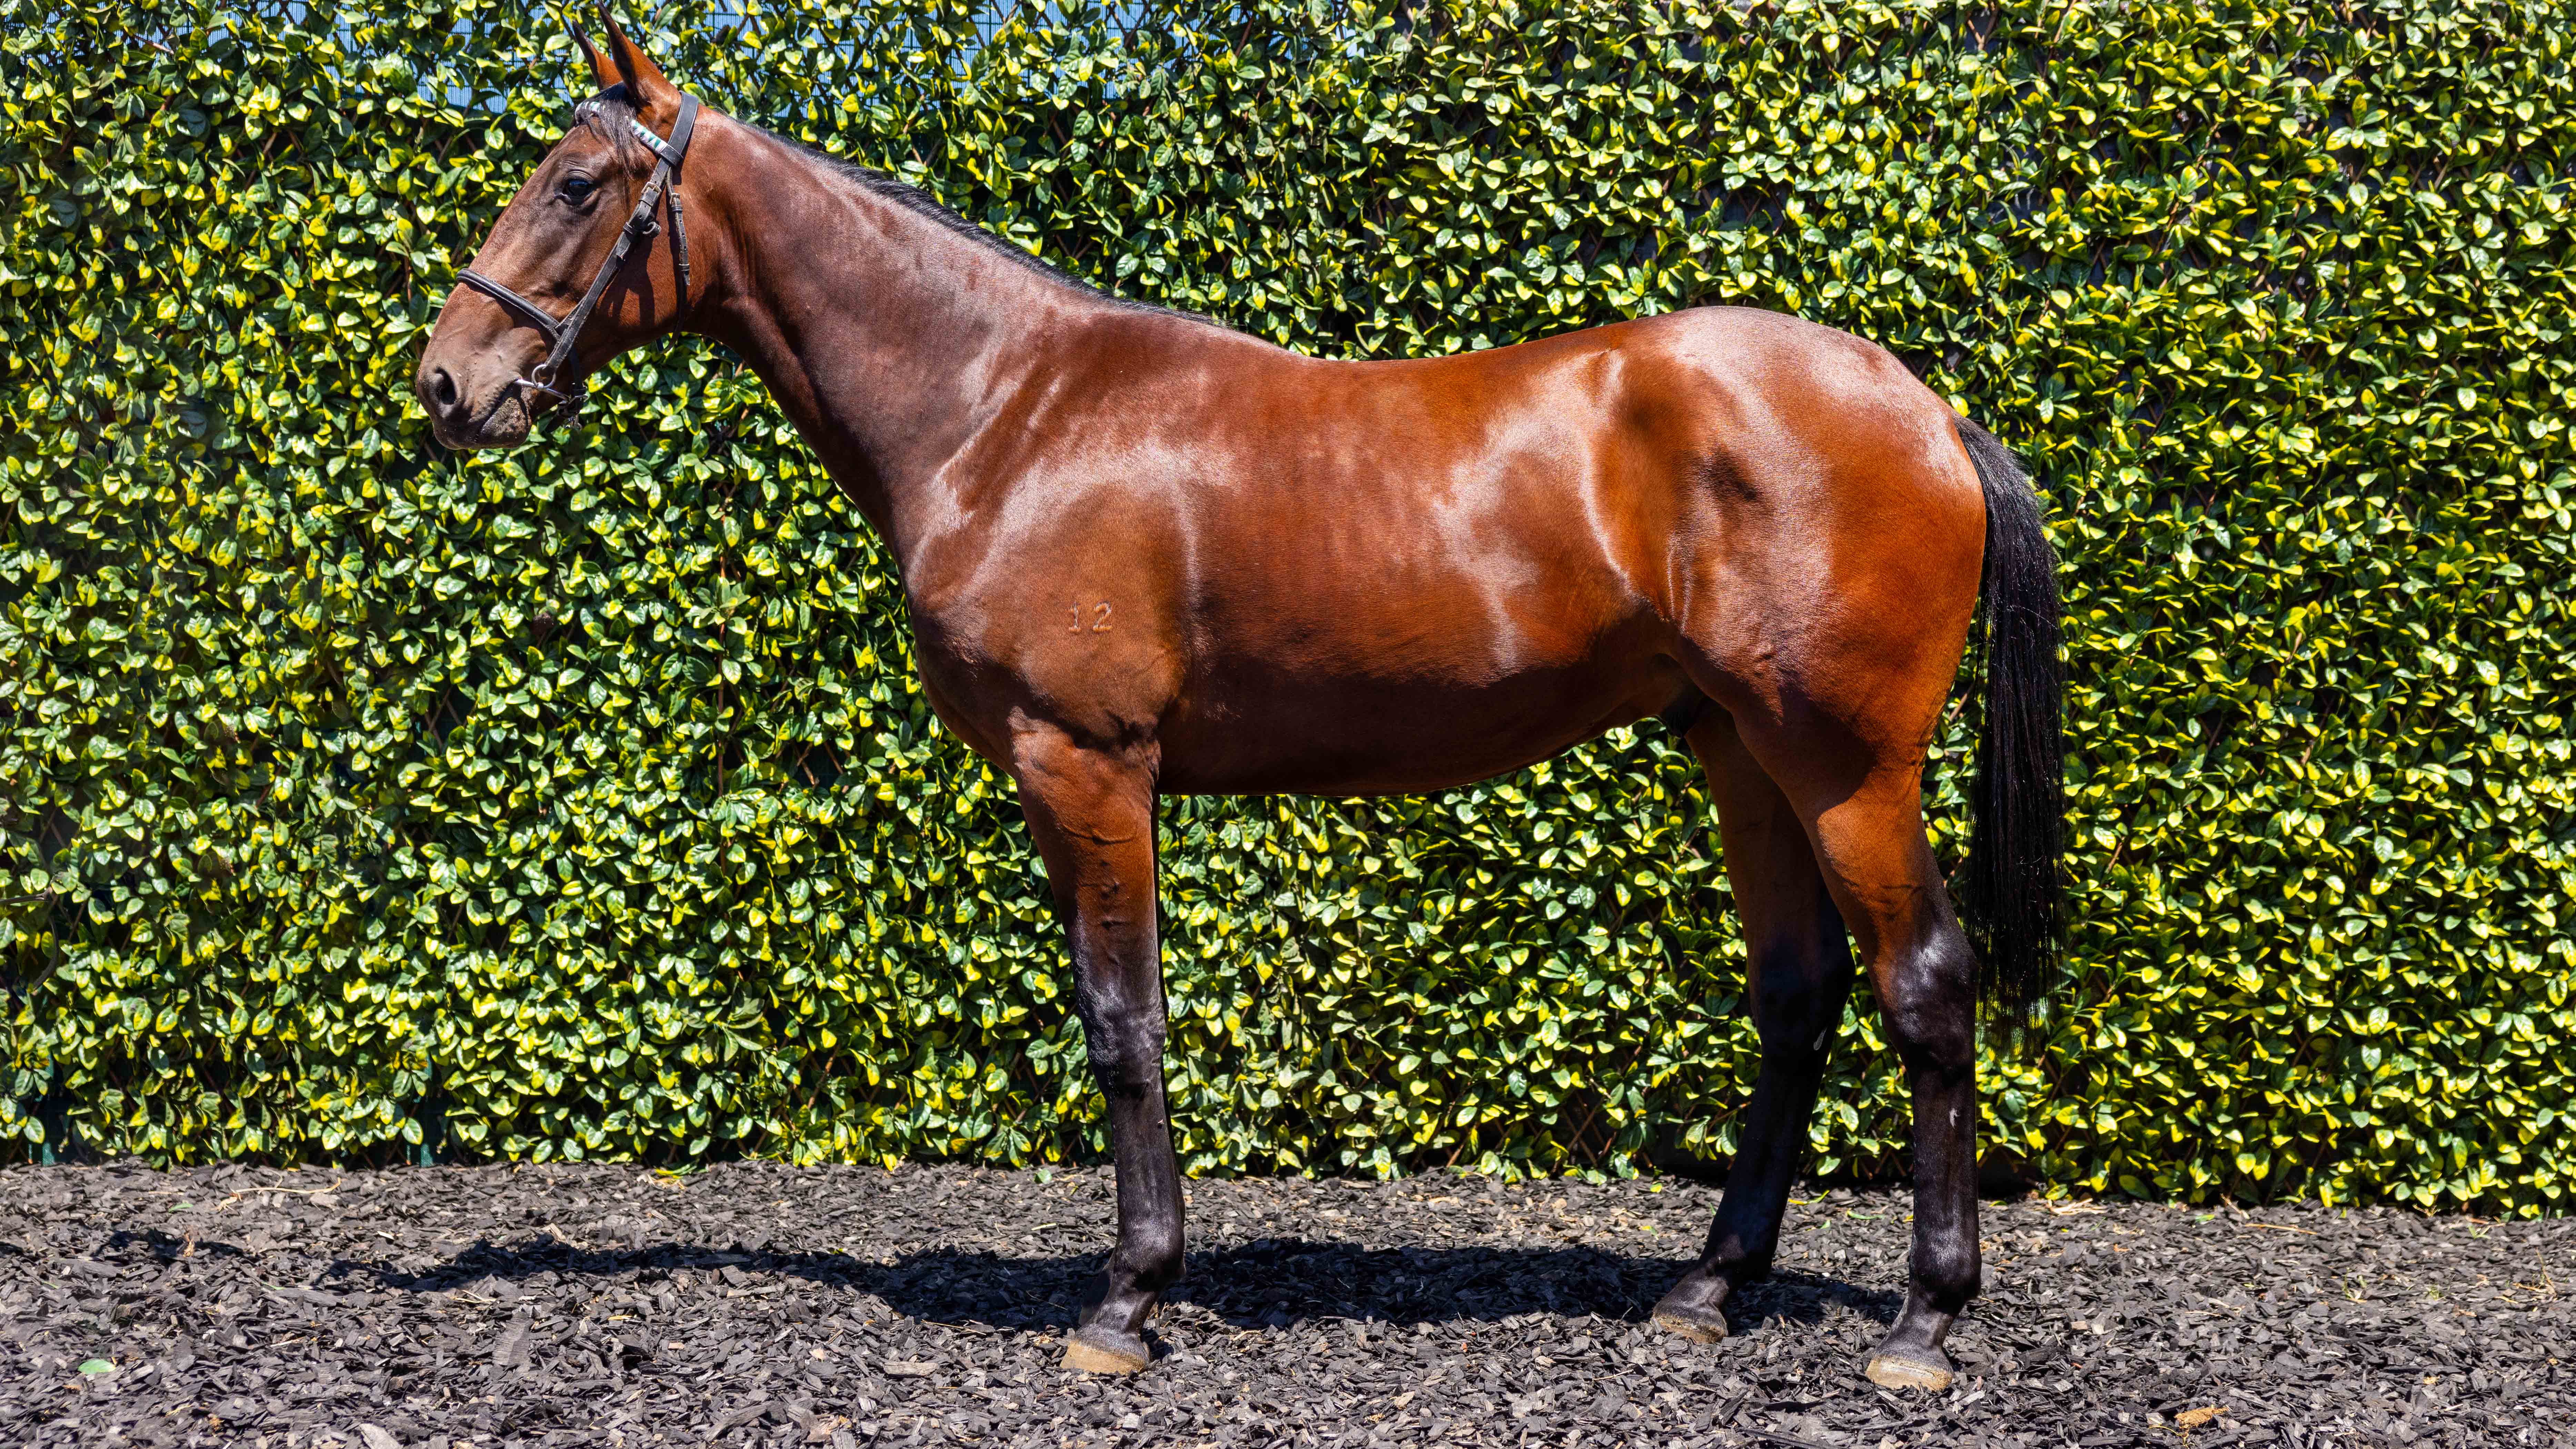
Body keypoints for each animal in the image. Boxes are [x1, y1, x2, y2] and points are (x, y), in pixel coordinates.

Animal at [415, 11, 2067, 1392]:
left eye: (576, 184)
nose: (445, 386)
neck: (1006, 410)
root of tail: (1925, 411)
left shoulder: (1085, 765)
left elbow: (1121, 1022)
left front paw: (1126, 1303)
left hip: (1844, 765)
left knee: (1925, 985)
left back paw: (1923, 1322)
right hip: (1739, 750)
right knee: (1796, 995)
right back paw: (1707, 1291)